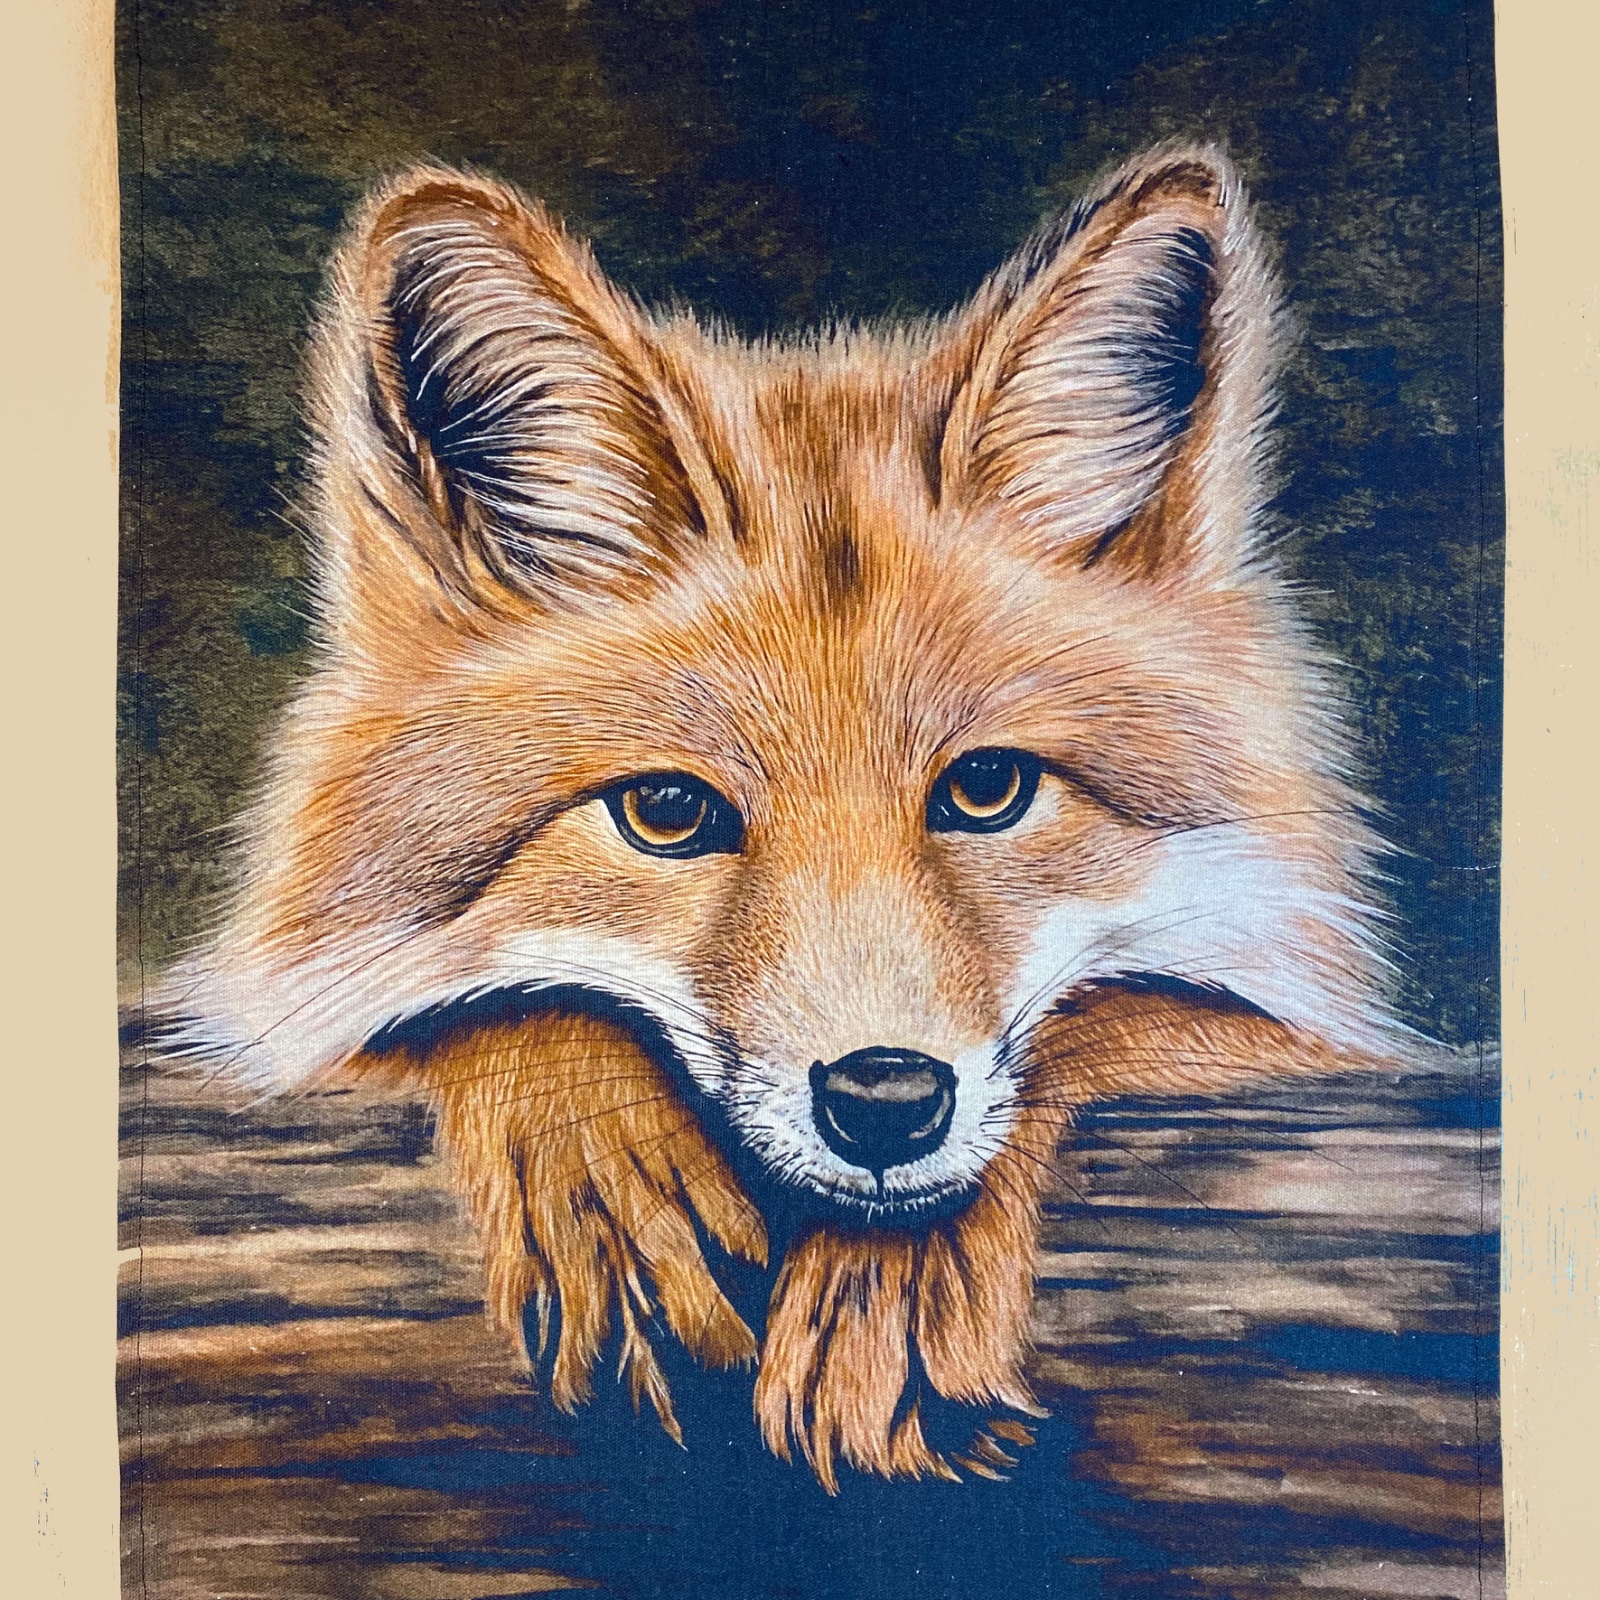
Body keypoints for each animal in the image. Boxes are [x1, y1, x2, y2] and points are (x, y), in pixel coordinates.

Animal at [151, 144, 1403, 1491]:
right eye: (664, 812)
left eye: (986, 790)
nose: (886, 1099)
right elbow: (491, 1014)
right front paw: (594, 1161)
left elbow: (1127, 1021)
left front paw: (898, 1291)